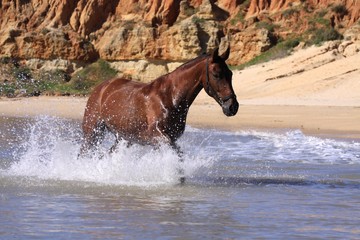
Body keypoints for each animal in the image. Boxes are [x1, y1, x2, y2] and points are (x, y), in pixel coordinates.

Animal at [82, 46, 239, 156]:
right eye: (216, 74)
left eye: (230, 74)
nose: (232, 107)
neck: (169, 97)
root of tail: (101, 88)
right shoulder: (158, 137)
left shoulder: (169, 139)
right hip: (92, 132)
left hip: (123, 138)